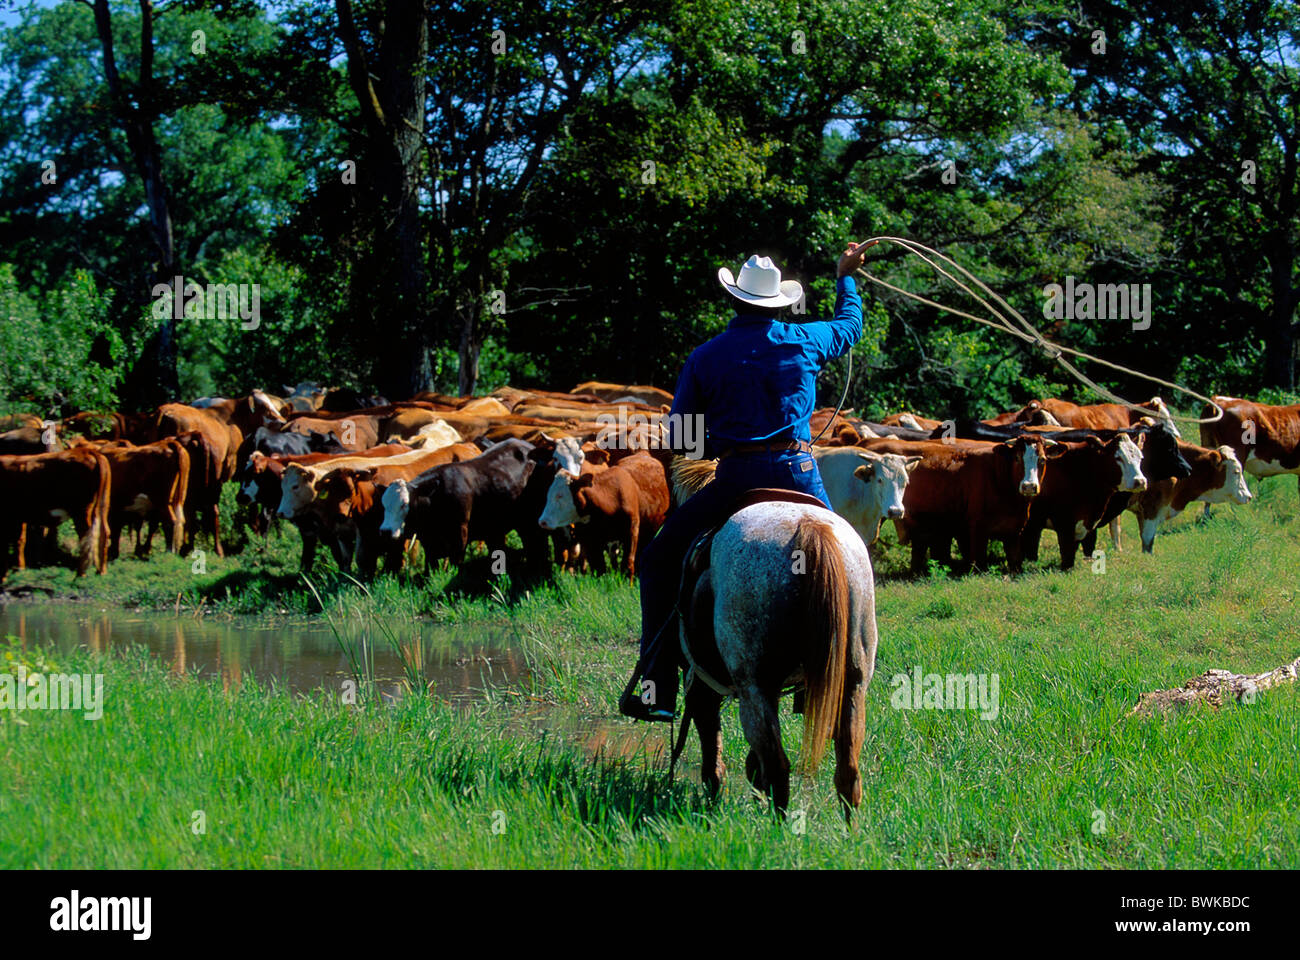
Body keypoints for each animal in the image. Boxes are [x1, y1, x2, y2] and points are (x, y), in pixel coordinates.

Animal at [676, 494, 878, 816]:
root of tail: (809, 528)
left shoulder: (701, 685)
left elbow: (712, 750)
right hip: (853, 685)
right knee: (848, 772)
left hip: (754, 688)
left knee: (777, 768)